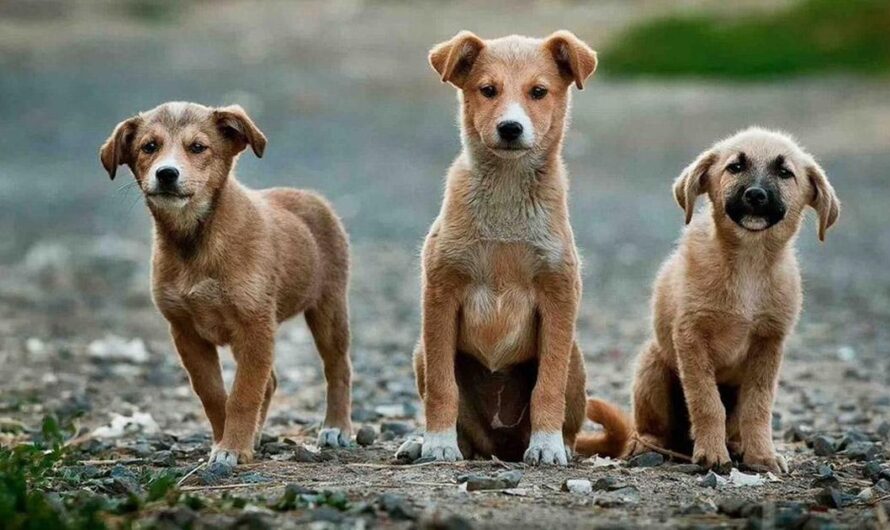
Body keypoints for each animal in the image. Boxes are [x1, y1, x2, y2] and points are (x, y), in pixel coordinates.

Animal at [99, 101, 354, 464]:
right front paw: (227, 441)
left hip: (328, 309)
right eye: (149, 147)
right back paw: (257, 435)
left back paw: (336, 427)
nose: (166, 174)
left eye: (197, 147)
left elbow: (244, 394)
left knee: (338, 368)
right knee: (271, 381)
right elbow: (214, 394)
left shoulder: (255, 326)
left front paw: (232, 448)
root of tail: (310, 197)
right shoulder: (186, 332)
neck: (196, 241)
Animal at [414, 31, 596, 464]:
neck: (507, 194)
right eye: (488, 90)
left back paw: (559, 444)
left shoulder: (559, 296)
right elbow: (442, 387)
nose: (510, 128)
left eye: (539, 92)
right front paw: (438, 442)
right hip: (419, 352)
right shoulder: (440, 294)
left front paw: (546, 446)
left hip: (576, 358)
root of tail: (500, 445)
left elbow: (547, 386)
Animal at [580, 127, 836, 470]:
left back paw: (737, 445)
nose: (756, 195)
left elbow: (758, 407)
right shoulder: (691, 337)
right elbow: (706, 401)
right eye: (735, 167)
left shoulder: (769, 344)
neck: (748, 264)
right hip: (652, 365)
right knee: (648, 428)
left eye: (785, 173)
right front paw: (712, 453)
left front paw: (762, 455)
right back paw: (649, 446)